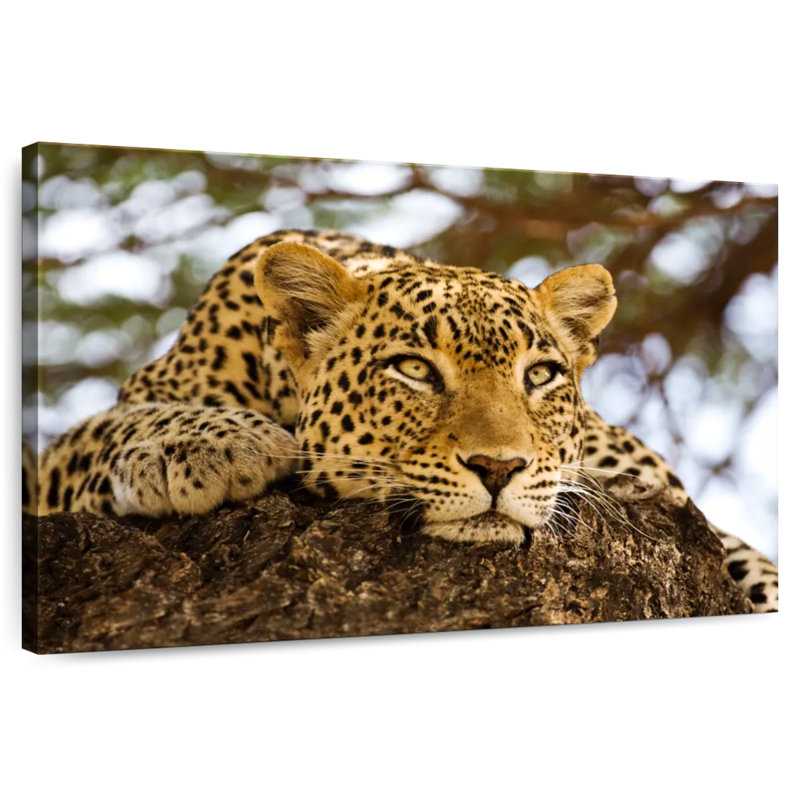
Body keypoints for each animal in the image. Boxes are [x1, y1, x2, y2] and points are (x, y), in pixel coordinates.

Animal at [28, 229, 778, 612]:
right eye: (414, 369)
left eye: (540, 375)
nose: (500, 468)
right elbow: (102, 428)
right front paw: (210, 445)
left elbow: (749, 559)